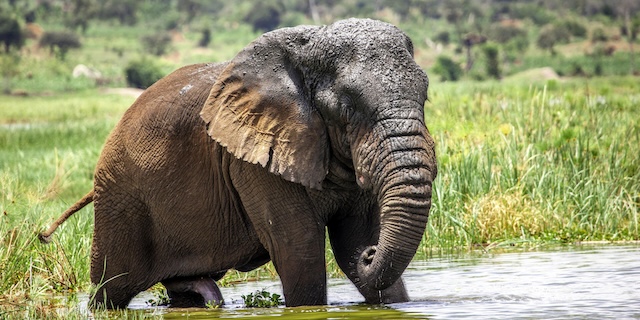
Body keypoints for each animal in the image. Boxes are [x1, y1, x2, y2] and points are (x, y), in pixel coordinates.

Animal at [38, 18, 436, 308]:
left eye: (426, 94)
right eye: (347, 106)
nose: (370, 255)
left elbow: (354, 239)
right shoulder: (254, 161)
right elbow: (299, 247)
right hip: (120, 199)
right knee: (111, 289)